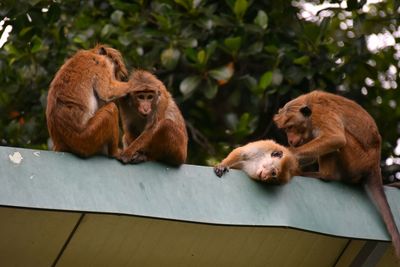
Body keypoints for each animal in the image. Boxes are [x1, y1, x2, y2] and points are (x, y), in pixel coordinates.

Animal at [274, 91, 400, 258]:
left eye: (291, 127)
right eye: (286, 129)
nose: (290, 140)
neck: (310, 105)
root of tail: (374, 163)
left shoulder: (321, 114)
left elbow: (336, 138)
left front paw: (287, 152)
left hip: (357, 160)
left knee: (339, 140)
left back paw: (324, 175)